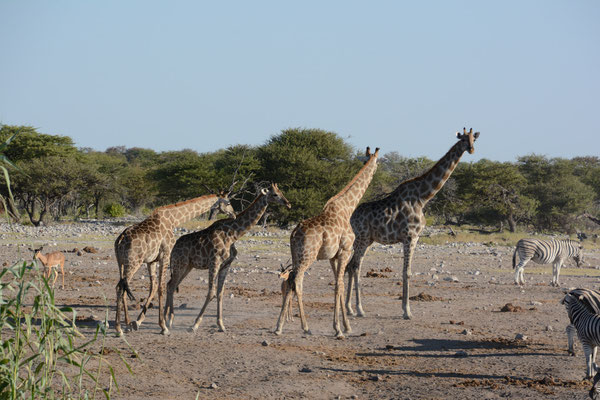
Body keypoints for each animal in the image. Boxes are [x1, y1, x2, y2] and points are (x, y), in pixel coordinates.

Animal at [113, 192, 236, 336]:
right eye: (228, 202)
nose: (233, 214)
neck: (173, 219)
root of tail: (119, 240)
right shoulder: (166, 254)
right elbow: (161, 287)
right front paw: (163, 327)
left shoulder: (151, 260)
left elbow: (154, 287)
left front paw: (138, 322)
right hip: (133, 262)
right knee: (121, 288)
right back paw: (119, 329)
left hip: (121, 263)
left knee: (120, 287)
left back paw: (125, 324)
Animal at [164, 184, 290, 334]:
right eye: (275, 194)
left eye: (281, 192)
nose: (288, 204)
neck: (233, 234)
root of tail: (173, 249)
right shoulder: (215, 261)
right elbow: (211, 292)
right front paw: (195, 324)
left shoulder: (226, 264)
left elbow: (220, 293)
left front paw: (221, 325)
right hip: (180, 264)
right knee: (171, 285)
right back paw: (168, 321)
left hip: (187, 266)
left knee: (170, 285)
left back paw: (166, 320)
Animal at [274, 147, 378, 338]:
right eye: (377, 163)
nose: (375, 171)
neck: (347, 208)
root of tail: (293, 233)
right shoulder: (345, 251)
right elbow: (339, 285)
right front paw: (338, 329)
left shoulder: (333, 256)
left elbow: (339, 285)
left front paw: (346, 326)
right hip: (307, 256)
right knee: (297, 281)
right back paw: (304, 327)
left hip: (296, 256)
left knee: (290, 280)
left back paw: (280, 326)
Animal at [346, 128, 478, 318]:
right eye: (463, 139)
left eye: (474, 139)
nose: (471, 149)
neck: (423, 197)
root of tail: (351, 217)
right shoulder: (410, 236)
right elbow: (406, 272)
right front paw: (407, 311)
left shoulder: (414, 237)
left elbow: (406, 271)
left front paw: (405, 309)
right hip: (361, 239)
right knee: (354, 266)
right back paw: (359, 309)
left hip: (367, 240)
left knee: (351, 266)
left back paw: (349, 308)